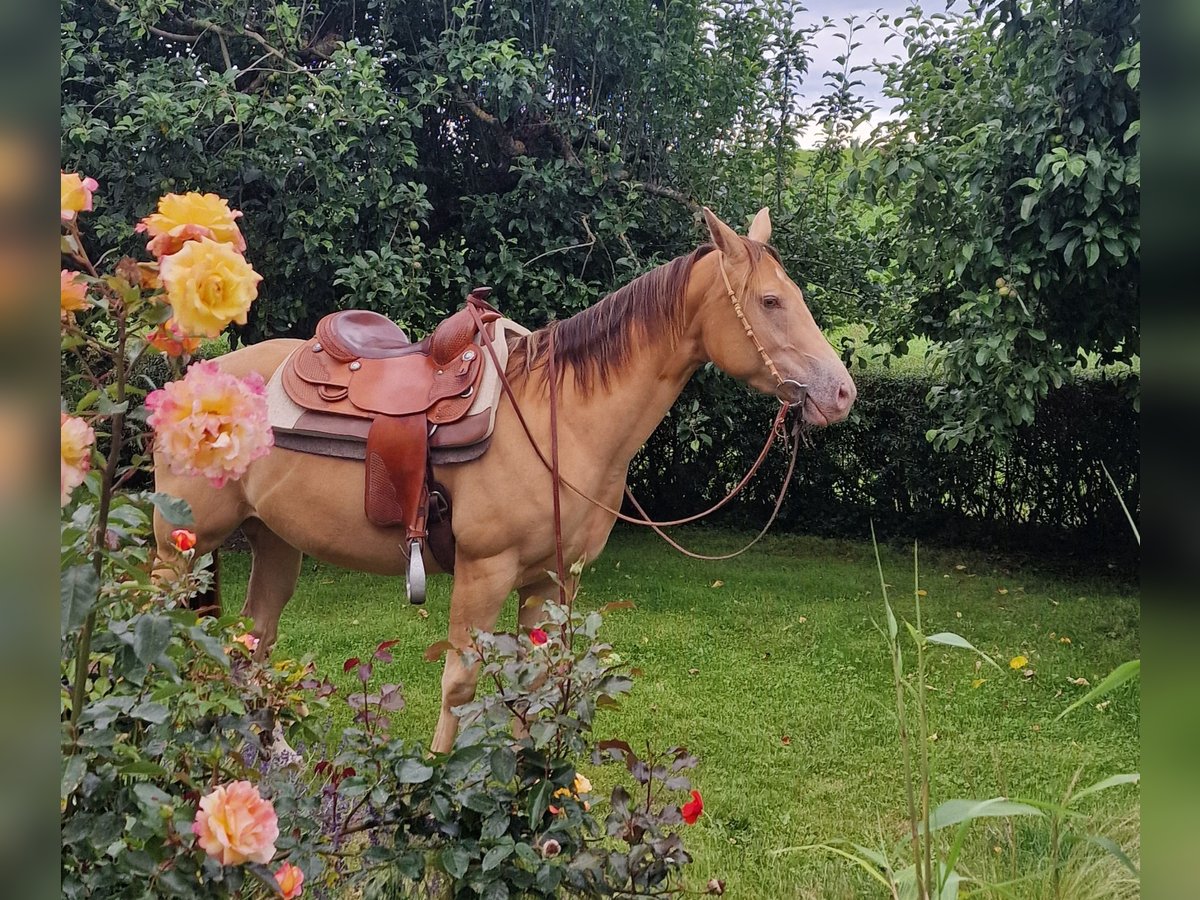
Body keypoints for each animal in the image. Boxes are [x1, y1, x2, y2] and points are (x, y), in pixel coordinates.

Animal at [154, 206, 859, 753]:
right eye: (770, 301)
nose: (842, 393)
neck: (563, 419)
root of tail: (189, 382)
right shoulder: (484, 573)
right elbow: (461, 682)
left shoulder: (550, 579)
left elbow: (537, 682)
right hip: (177, 550)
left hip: (273, 542)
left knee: (253, 640)